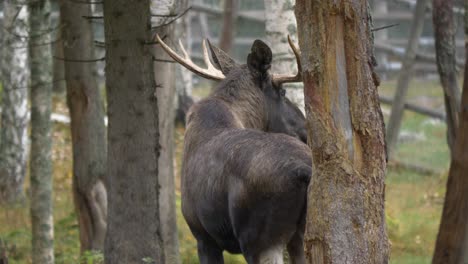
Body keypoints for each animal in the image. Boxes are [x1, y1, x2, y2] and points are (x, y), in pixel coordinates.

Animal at [156, 34, 310, 262]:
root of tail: (304, 171)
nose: (305, 129)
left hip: (259, 239)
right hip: (297, 236)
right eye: (282, 92)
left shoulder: (203, 236)